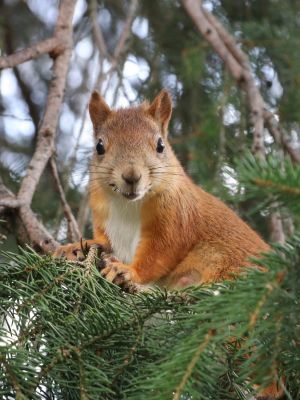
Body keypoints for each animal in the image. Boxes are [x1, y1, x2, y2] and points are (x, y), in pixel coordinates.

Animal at [54, 89, 270, 290]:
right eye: (99, 146)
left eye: (160, 145)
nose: (132, 176)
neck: (127, 206)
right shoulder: (103, 217)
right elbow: (102, 242)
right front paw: (75, 247)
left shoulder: (176, 220)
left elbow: (158, 256)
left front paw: (126, 271)